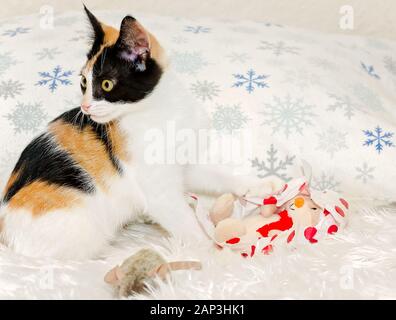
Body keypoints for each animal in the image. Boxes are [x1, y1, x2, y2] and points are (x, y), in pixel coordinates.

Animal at [0, 6, 276, 260]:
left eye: (106, 84)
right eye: (84, 82)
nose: (85, 107)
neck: (160, 111)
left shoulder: (184, 165)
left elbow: (217, 176)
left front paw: (261, 185)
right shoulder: (158, 193)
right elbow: (189, 227)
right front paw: (220, 259)